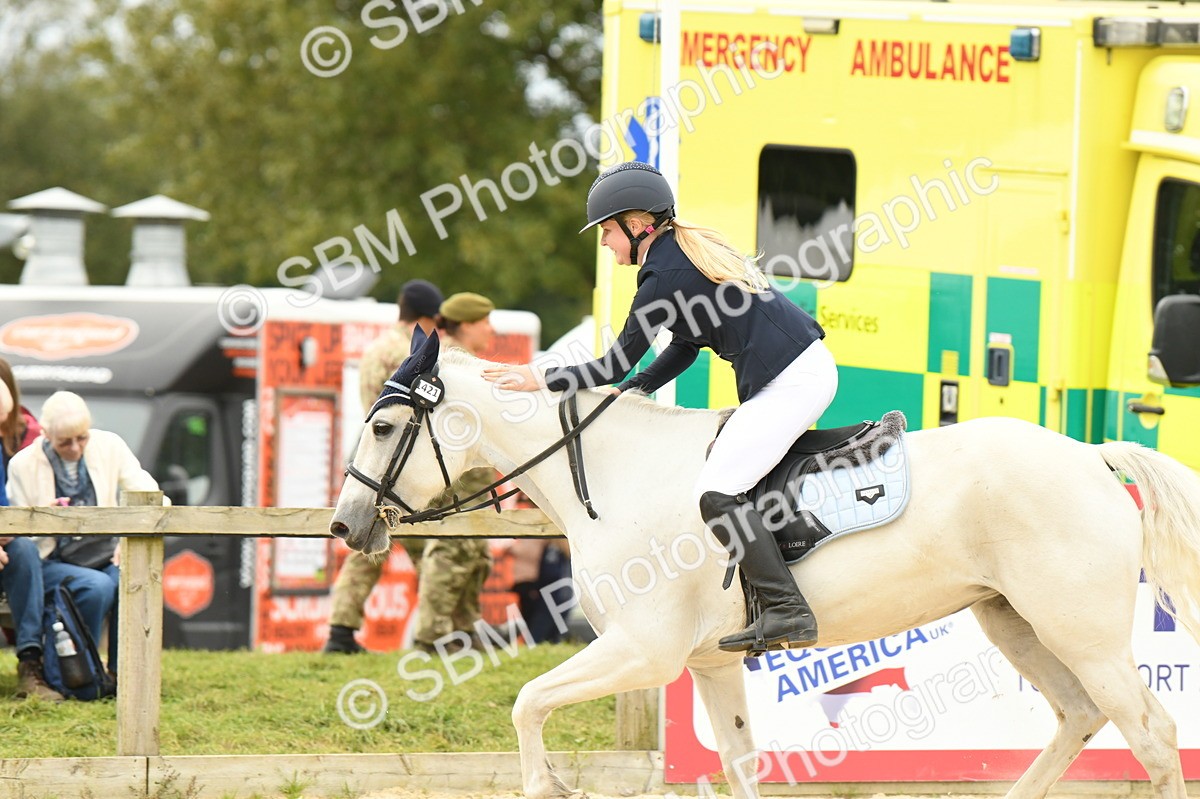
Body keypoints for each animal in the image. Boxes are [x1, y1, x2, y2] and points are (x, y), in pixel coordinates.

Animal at [330, 338, 1200, 799]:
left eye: (384, 426)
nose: (344, 525)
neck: (616, 475)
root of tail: (1089, 455)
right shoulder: (709, 664)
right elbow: (741, 763)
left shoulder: (640, 652)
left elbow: (527, 702)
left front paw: (546, 785)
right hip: (1013, 619)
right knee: (1079, 715)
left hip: (1080, 632)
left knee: (1152, 735)